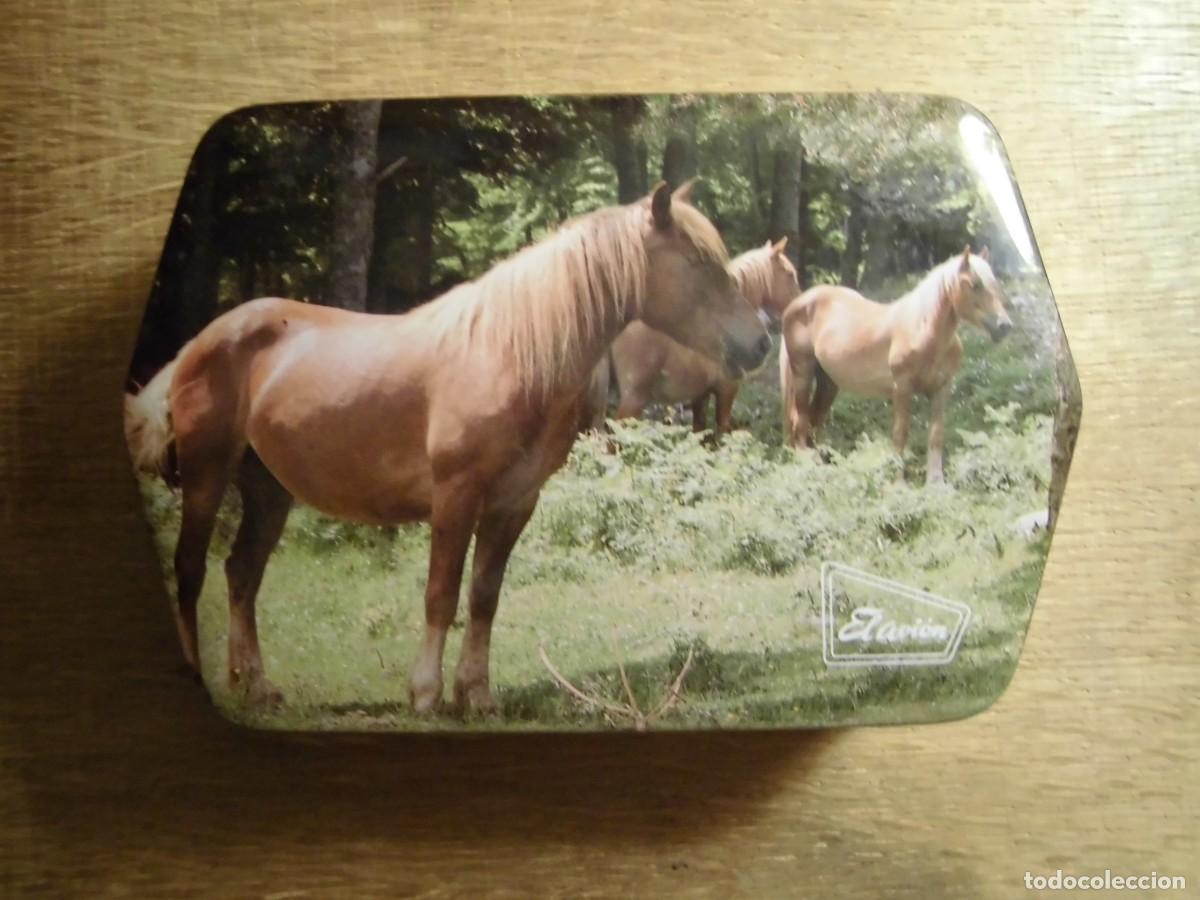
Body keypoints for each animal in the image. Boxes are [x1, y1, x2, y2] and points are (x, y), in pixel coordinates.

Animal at [125, 180, 769, 715]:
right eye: (697, 263)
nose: (760, 342)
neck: (508, 353)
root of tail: (200, 342)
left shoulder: (514, 503)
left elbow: (484, 596)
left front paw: (477, 694)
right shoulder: (456, 496)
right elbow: (441, 594)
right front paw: (427, 693)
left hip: (268, 489)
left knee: (242, 574)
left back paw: (256, 686)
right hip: (208, 475)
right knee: (190, 571)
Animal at [779, 246, 1012, 485]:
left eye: (994, 284)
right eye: (974, 284)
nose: (1004, 326)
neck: (923, 330)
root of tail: (798, 303)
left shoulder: (941, 389)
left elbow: (936, 434)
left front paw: (936, 482)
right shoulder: (902, 389)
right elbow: (901, 434)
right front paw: (899, 482)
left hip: (828, 382)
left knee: (815, 422)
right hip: (803, 374)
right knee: (800, 421)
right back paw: (806, 468)